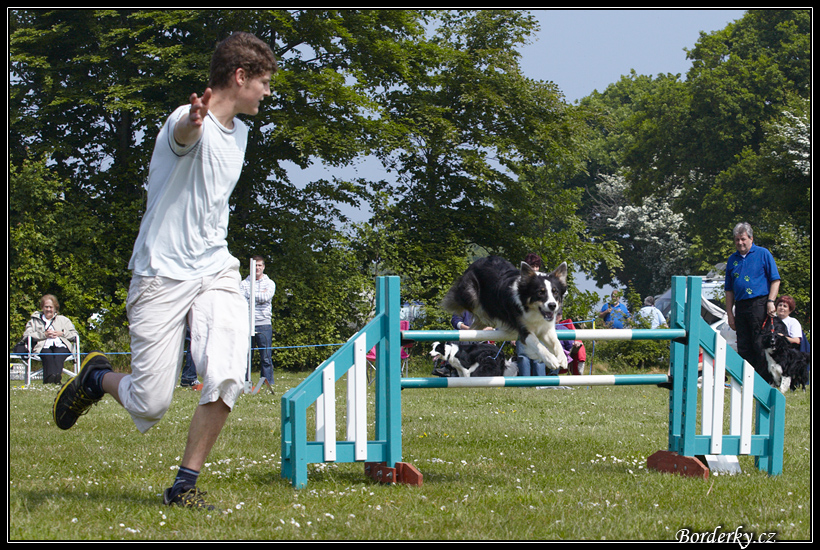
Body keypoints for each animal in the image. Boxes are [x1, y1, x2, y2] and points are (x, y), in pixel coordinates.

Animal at [442, 256, 572, 374]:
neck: (532, 310)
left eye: (555, 292)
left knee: (475, 324)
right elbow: (537, 344)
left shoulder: (545, 328)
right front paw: (551, 360)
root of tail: (480, 260)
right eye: (540, 292)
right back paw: (484, 317)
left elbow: (556, 342)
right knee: (472, 306)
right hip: (469, 293)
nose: (552, 305)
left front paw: (562, 358)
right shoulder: (523, 329)